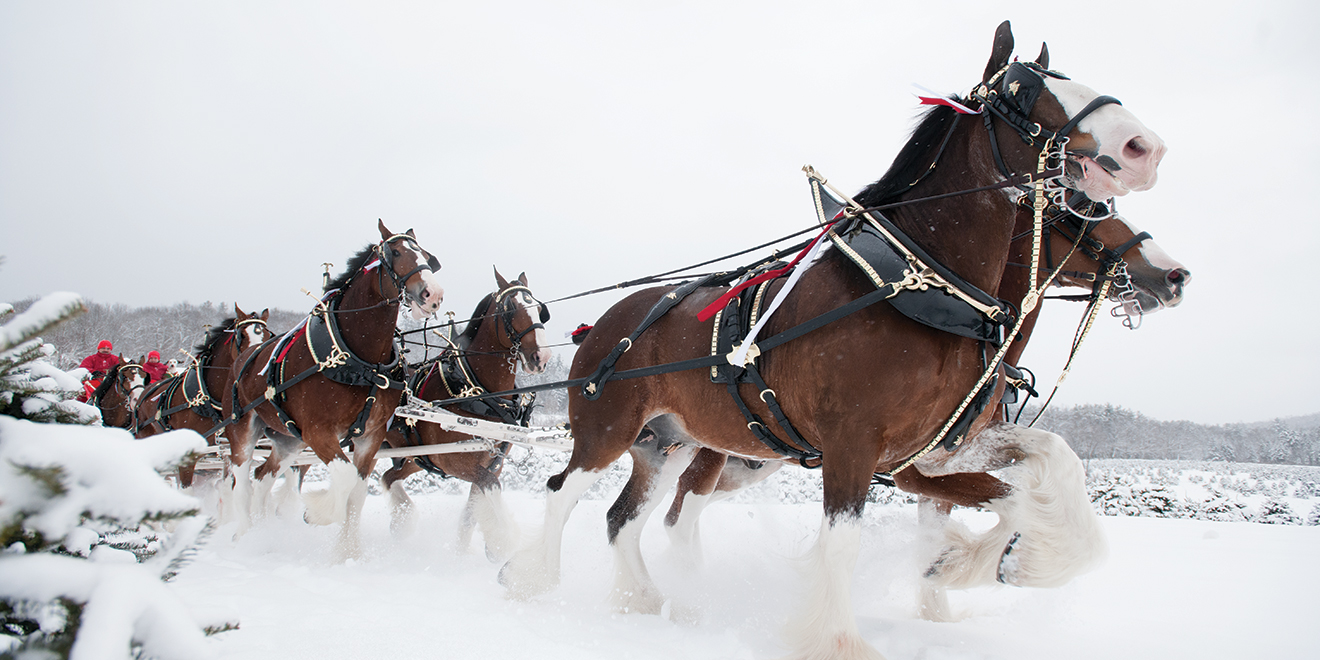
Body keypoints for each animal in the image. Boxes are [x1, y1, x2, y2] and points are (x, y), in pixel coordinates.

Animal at [133, 306, 275, 488]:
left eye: (268, 335)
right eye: (241, 335)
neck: (208, 401)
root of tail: (144, 393)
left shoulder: (230, 450)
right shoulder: (187, 457)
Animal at [224, 221, 446, 557]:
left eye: (428, 257)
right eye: (394, 252)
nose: (433, 294)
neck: (359, 359)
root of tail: (241, 360)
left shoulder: (370, 436)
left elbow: (357, 492)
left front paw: (347, 553)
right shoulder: (319, 431)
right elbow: (344, 478)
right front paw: (317, 513)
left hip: (289, 439)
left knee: (262, 476)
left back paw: (265, 535)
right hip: (243, 429)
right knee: (241, 481)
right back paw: (246, 536)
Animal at [382, 267, 551, 557]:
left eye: (539, 310)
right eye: (510, 308)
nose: (541, 357)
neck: (480, 392)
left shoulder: (491, 464)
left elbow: (471, 513)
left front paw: (463, 555)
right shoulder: (454, 462)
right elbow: (492, 489)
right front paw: (502, 539)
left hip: (412, 456)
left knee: (387, 477)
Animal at [501, 23, 1166, 657]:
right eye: (1023, 89)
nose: (1143, 147)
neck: (921, 287)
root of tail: (602, 324)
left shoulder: (932, 451)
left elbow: (1036, 480)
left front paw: (979, 563)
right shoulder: (856, 444)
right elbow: (843, 544)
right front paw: (844, 639)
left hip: (670, 444)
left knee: (626, 518)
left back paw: (648, 600)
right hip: (608, 430)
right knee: (564, 494)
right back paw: (533, 581)